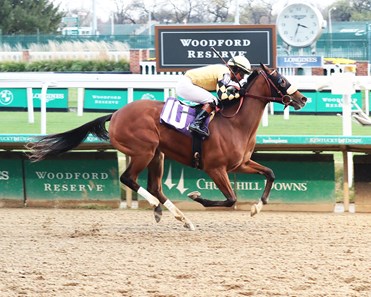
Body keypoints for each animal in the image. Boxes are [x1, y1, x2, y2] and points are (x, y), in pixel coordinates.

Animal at [26, 64, 308, 231]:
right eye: (281, 79)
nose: (303, 98)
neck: (234, 122)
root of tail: (116, 113)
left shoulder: (241, 163)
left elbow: (270, 173)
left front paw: (257, 206)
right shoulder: (215, 168)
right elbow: (231, 199)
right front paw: (196, 196)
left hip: (158, 155)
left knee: (155, 187)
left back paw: (182, 219)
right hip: (144, 150)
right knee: (129, 179)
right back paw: (159, 208)